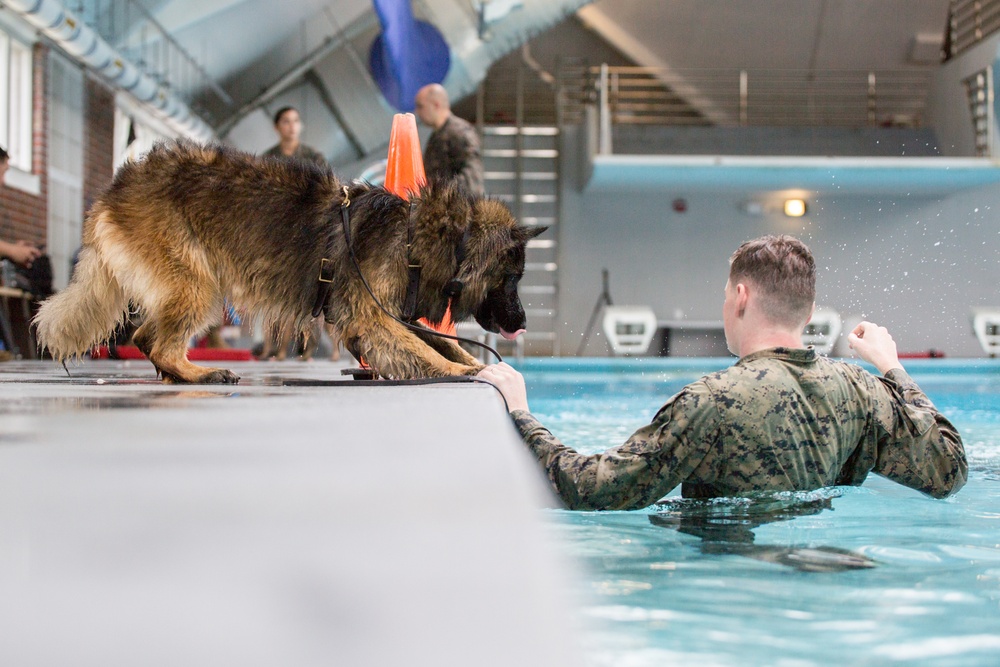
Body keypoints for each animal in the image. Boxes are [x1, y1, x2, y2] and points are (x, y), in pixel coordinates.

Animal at [35, 141, 544, 380]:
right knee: (159, 343)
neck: (423, 235)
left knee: (144, 337)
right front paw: (466, 371)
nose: (523, 322)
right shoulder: (372, 318)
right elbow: (425, 350)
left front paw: (475, 362)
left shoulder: (386, 317)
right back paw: (200, 371)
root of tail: (115, 189)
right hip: (198, 283)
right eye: (512, 279)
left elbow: (442, 343)